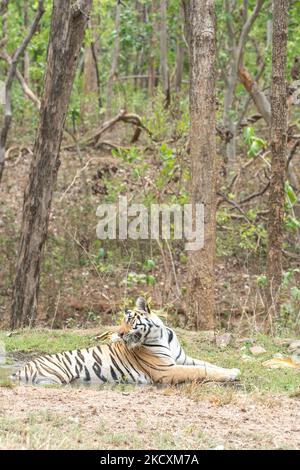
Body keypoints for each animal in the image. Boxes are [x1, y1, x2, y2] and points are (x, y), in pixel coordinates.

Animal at [12, 298, 240, 386]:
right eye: (122, 320)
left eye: (129, 320)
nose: (119, 334)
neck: (161, 334)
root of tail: (22, 368)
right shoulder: (166, 370)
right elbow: (199, 370)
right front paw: (231, 374)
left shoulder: (181, 358)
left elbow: (207, 364)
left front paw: (232, 370)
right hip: (56, 376)